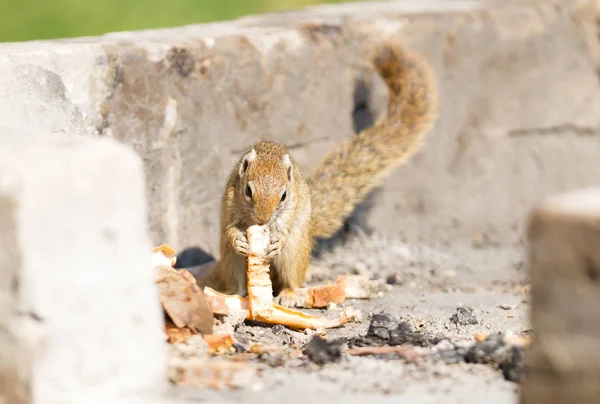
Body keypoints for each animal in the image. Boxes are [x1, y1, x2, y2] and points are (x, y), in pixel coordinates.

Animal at [209, 41, 438, 296]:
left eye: (284, 196)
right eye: (248, 191)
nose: (262, 220)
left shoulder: (291, 209)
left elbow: (285, 227)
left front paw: (278, 239)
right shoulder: (230, 201)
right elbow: (230, 227)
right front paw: (238, 238)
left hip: (295, 253)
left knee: (293, 279)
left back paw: (288, 294)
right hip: (230, 261)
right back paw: (231, 294)